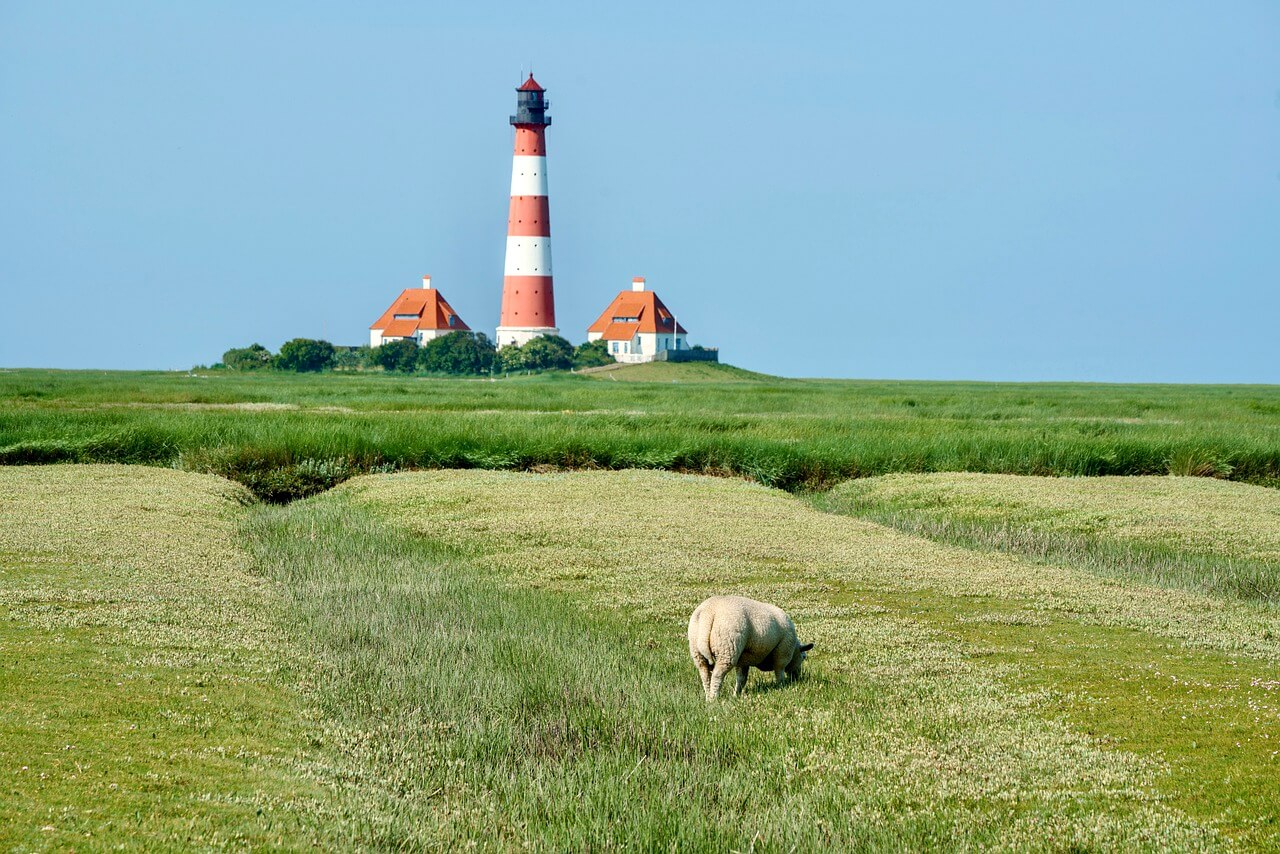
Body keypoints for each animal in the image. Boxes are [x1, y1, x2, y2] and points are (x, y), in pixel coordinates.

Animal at [686, 594, 814, 701]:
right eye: (803, 657)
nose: (797, 677)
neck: (794, 649)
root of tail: (709, 612)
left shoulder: (743, 659)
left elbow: (741, 678)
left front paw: (736, 694)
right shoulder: (782, 653)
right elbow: (779, 671)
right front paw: (781, 686)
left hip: (698, 653)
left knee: (705, 675)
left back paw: (708, 697)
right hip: (727, 650)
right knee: (717, 675)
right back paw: (714, 698)